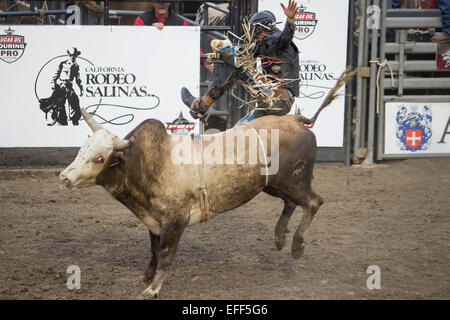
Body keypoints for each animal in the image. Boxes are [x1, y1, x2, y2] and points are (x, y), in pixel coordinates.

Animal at [59, 68, 356, 300]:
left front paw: (153, 288)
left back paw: (296, 244)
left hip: (294, 180)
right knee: (290, 203)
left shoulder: (175, 220)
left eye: (100, 157)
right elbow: (154, 252)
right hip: (273, 184)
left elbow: (165, 254)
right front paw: (144, 278)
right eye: (82, 149)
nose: (64, 177)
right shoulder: (154, 220)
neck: (148, 162)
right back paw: (280, 236)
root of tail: (295, 119)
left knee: (313, 202)